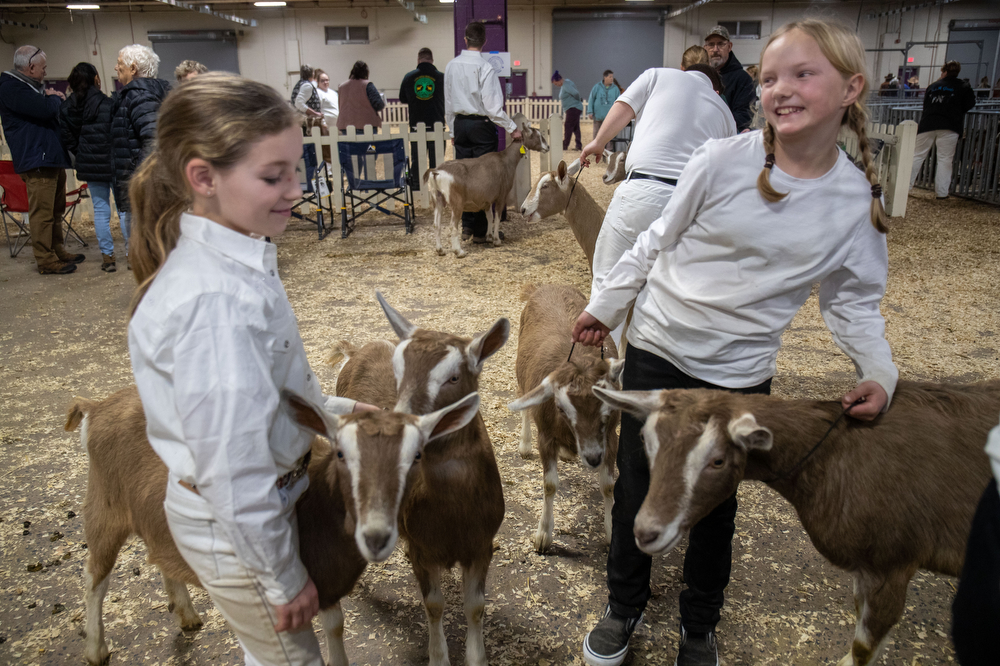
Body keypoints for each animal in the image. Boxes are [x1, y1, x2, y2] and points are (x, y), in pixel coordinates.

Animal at [66, 384, 480, 664]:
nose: (376, 536)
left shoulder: (328, 584)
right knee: (94, 576)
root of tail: (95, 407)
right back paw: (95, 648)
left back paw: (185, 614)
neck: (317, 506)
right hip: (104, 507)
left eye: (417, 455)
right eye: (342, 454)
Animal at [334, 294, 512, 664]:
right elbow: (434, 605)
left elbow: (476, 607)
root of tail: (355, 350)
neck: (454, 514)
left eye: (454, 377)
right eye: (398, 373)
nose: (399, 425)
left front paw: (476, 656)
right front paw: (439, 656)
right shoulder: (423, 549)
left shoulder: (481, 543)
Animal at [422, 115, 548, 255]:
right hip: (456, 202)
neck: (505, 159)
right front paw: (497, 240)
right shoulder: (501, 196)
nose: (547, 147)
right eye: (538, 136)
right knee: (453, 226)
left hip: (437, 198)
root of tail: (436, 171)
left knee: (436, 224)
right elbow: (497, 217)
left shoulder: (487, 199)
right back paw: (459, 251)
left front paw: (488, 236)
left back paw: (440, 250)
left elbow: (489, 216)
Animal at [512, 284, 620, 548]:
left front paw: (611, 531)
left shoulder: (610, 437)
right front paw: (543, 535)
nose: (592, 457)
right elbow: (550, 485)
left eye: (607, 406)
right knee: (523, 396)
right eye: (560, 408)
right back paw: (525, 444)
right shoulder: (546, 434)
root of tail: (548, 285)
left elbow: (608, 486)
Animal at [592, 378, 1000, 664]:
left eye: (718, 460)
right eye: (647, 441)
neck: (838, 451)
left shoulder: (892, 565)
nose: (646, 531)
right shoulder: (865, 571)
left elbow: (863, 649)